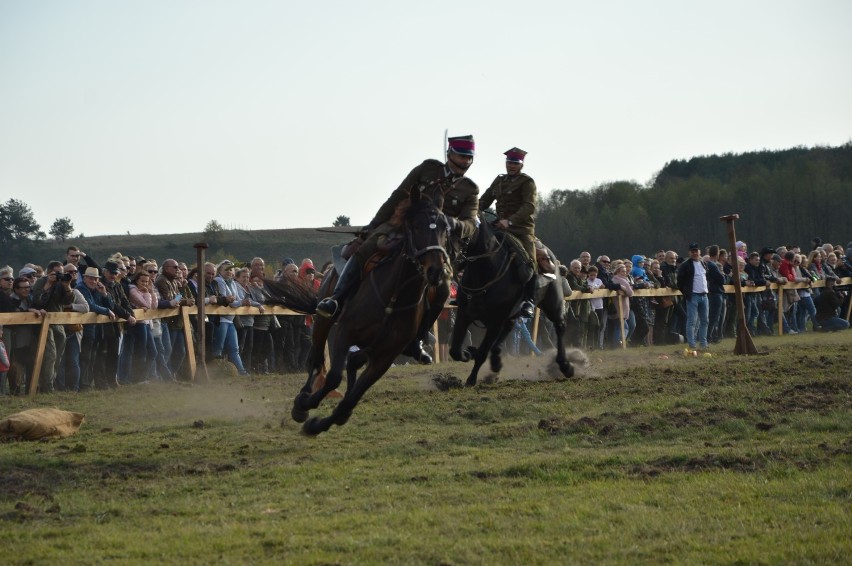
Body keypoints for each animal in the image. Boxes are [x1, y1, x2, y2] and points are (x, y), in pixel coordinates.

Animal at [264, 189, 452, 438]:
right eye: (417, 226)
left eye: (444, 228)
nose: (436, 271)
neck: (395, 296)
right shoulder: (345, 332)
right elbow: (334, 377)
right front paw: (306, 406)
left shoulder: (386, 355)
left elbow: (351, 399)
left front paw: (319, 424)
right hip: (324, 322)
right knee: (316, 359)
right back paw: (302, 401)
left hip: (369, 346)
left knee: (352, 362)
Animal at [450, 215, 576, 388]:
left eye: (464, 227)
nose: (449, 255)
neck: (485, 274)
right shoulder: (464, 314)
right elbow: (455, 351)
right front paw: (468, 353)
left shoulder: (494, 322)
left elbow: (482, 352)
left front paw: (472, 379)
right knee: (509, 328)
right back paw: (496, 360)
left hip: (553, 305)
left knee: (560, 326)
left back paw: (565, 366)